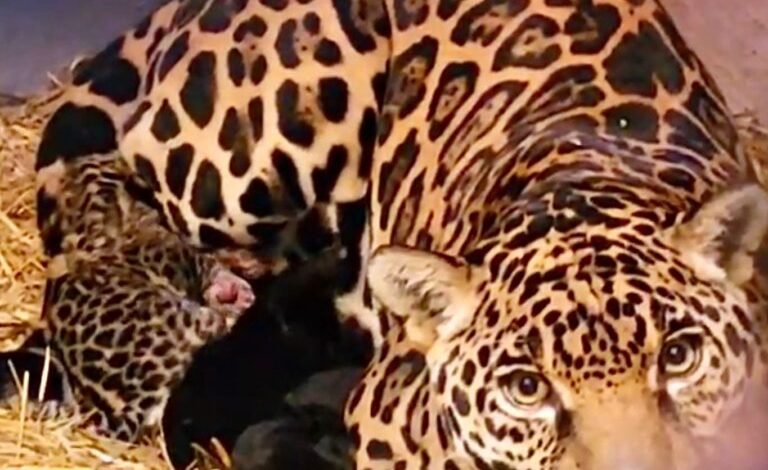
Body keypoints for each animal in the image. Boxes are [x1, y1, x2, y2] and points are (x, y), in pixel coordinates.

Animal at [35, 150, 256, 441]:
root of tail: (135, 402)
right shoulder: (186, 261)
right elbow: (210, 265)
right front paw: (238, 288)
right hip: (192, 322)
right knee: (217, 324)